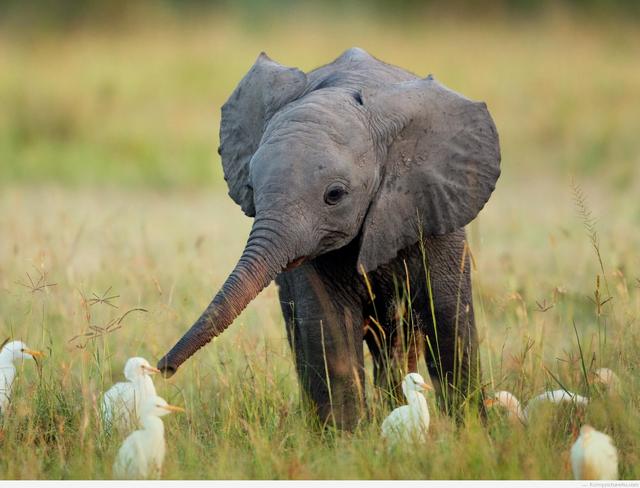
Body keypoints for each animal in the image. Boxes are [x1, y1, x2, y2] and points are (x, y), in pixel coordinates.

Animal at [159, 45, 500, 428]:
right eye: (251, 188)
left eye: (334, 195)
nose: (163, 368)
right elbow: (329, 327)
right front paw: (346, 438)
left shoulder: (433, 206)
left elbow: (449, 319)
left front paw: (472, 430)